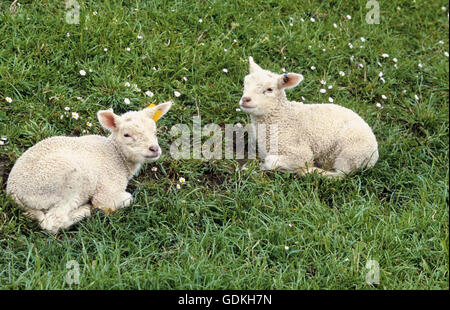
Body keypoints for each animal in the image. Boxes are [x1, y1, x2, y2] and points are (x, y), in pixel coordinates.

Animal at [6, 101, 173, 232]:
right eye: (126, 135)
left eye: (155, 131)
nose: (154, 149)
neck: (116, 155)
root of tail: (13, 191)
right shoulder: (106, 190)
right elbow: (122, 199)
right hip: (64, 182)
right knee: (53, 222)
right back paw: (85, 210)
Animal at [241, 56, 378, 177]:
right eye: (245, 84)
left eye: (270, 89)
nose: (245, 99)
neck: (282, 117)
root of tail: (375, 153)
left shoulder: (299, 152)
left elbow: (271, 160)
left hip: (351, 153)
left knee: (341, 174)